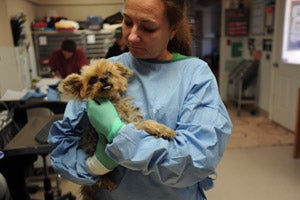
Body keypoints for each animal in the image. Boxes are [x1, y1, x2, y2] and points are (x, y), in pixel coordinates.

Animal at [58, 58, 176, 199]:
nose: (103, 79)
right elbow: (146, 123)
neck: (111, 101)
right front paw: (160, 129)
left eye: (108, 73)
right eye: (92, 79)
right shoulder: (129, 124)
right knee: (97, 180)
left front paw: (164, 129)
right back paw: (106, 182)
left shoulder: (131, 118)